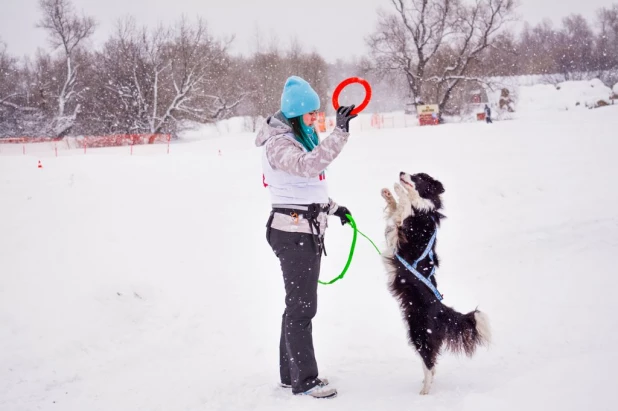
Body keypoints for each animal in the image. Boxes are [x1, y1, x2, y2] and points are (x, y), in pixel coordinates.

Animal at [378, 171, 488, 396]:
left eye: (418, 178)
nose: (401, 172)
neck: (422, 213)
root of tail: (442, 309)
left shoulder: (405, 234)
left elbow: (402, 209)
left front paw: (399, 191)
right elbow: (395, 211)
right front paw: (389, 193)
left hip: (420, 333)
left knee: (429, 361)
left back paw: (425, 391)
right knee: (430, 362)